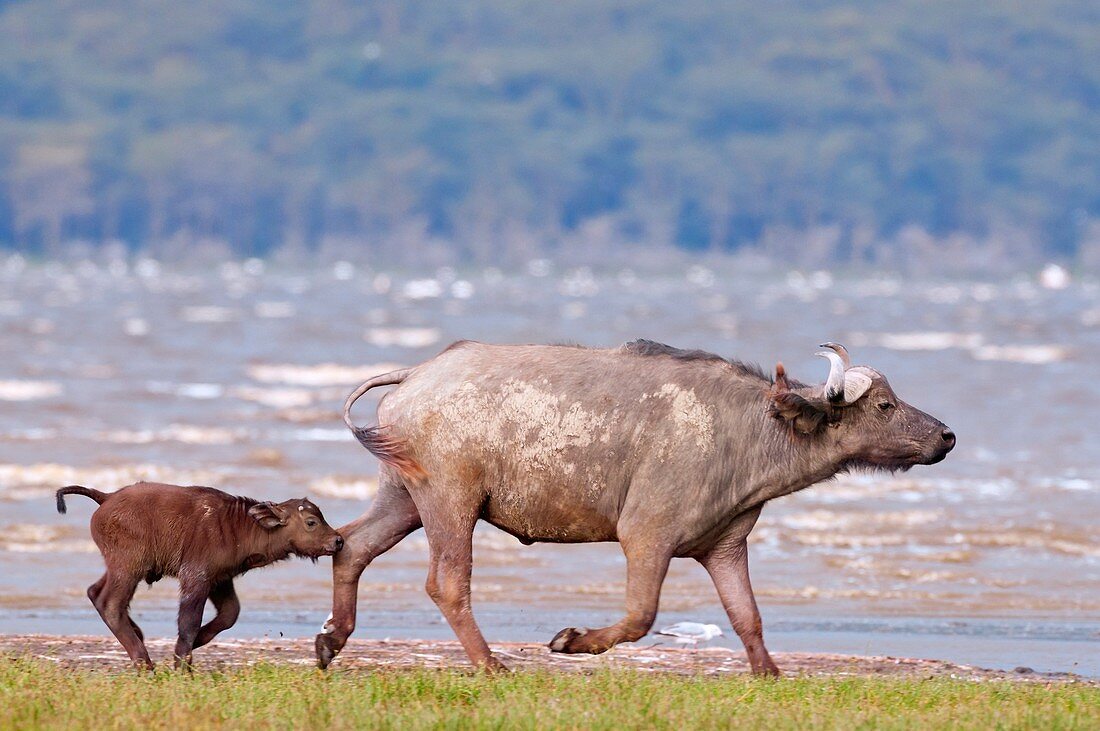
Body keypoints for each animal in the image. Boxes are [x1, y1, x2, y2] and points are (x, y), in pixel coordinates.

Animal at [54, 479, 338, 668]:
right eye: (311, 522)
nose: (337, 541)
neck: (239, 525)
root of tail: (107, 496)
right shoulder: (196, 579)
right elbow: (189, 623)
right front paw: (182, 665)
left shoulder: (221, 580)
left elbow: (229, 615)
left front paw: (190, 648)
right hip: (128, 569)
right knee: (111, 603)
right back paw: (145, 664)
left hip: (119, 569)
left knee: (95, 592)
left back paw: (140, 637)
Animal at [316, 340, 954, 672]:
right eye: (885, 406)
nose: (946, 436)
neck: (745, 429)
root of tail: (418, 372)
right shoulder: (647, 536)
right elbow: (642, 616)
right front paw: (571, 640)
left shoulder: (726, 546)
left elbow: (747, 616)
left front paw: (769, 674)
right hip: (452, 501)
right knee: (447, 583)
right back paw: (492, 664)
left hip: (404, 497)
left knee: (353, 546)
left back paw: (332, 640)